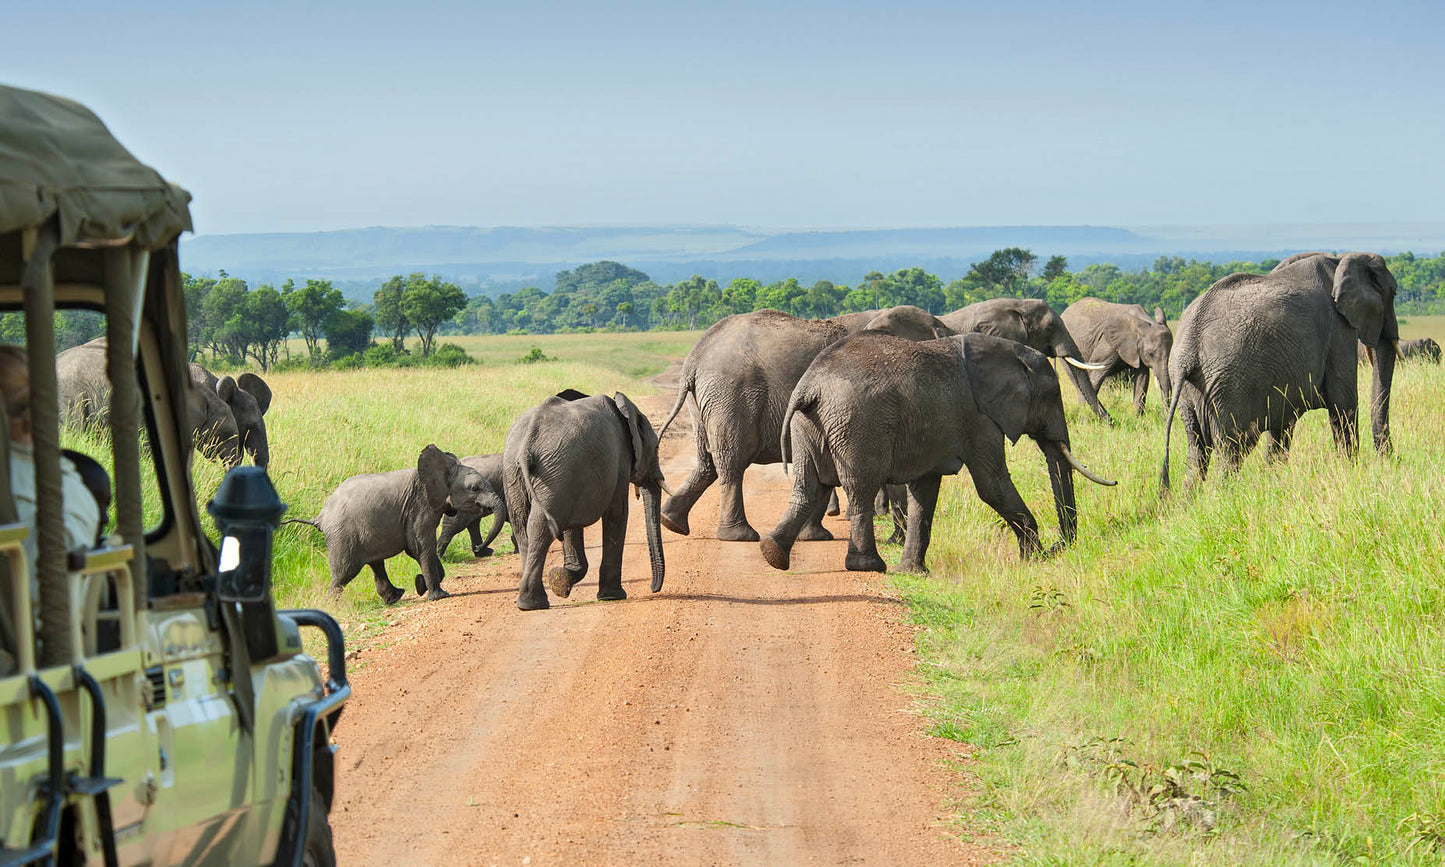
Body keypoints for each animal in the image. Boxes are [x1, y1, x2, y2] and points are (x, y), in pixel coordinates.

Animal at [285, 444, 495, 603]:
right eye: (475, 488)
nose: (480, 549)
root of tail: (320, 516)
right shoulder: (420, 506)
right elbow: (420, 546)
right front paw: (438, 596)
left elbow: (417, 549)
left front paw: (420, 585)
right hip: (342, 535)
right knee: (344, 574)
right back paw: (331, 607)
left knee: (375, 564)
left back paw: (395, 597)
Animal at [503, 390, 668, 611]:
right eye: (656, 447)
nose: (653, 589)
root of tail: (528, 439)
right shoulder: (619, 461)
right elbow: (617, 514)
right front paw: (611, 596)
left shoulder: (574, 478)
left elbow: (572, 526)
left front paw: (561, 581)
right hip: (553, 471)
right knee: (540, 526)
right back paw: (533, 603)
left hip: (523, 473)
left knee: (523, 527)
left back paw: (530, 602)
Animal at [657, 306, 949, 543]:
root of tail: (694, 357)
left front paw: (815, 536)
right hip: (732, 394)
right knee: (732, 461)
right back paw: (739, 536)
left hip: (705, 399)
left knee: (707, 461)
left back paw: (671, 522)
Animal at [760, 331, 1116, 573]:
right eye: (1053, 395)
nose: (1059, 547)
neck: (1008, 352)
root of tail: (809, 385)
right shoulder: (978, 418)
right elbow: (991, 484)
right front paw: (1033, 560)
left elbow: (925, 490)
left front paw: (913, 572)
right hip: (856, 424)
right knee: (860, 488)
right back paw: (869, 566)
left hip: (809, 425)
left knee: (808, 487)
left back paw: (772, 553)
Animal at [1161, 251, 1399, 488]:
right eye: (1394, 292)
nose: (1391, 459)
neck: (1339, 258)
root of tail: (1188, 349)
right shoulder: (1338, 331)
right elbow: (1343, 404)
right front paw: (1350, 471)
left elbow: (1281, 425)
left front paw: (1273, 478)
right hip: (1228, 387)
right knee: (1233, 448)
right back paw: (1224, 492)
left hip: (1191, 391)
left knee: (1197, 450)